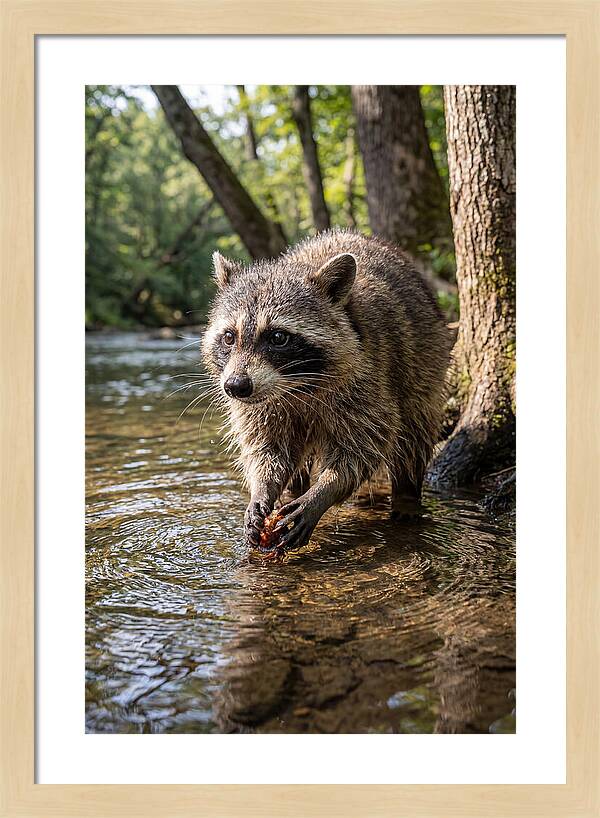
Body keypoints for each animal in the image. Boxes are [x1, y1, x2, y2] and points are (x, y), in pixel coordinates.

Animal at [202, 229, 451, 552]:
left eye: (278, 337)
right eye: (229, 337)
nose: (235, 387)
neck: (295, 385)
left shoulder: (368, 380)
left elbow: (364, 447)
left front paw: (323, 492)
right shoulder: (261, 405)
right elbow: (267, 449)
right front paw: (262, 488)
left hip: (425, 361)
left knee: (413, 435)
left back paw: (407, 495)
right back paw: (292, 491)